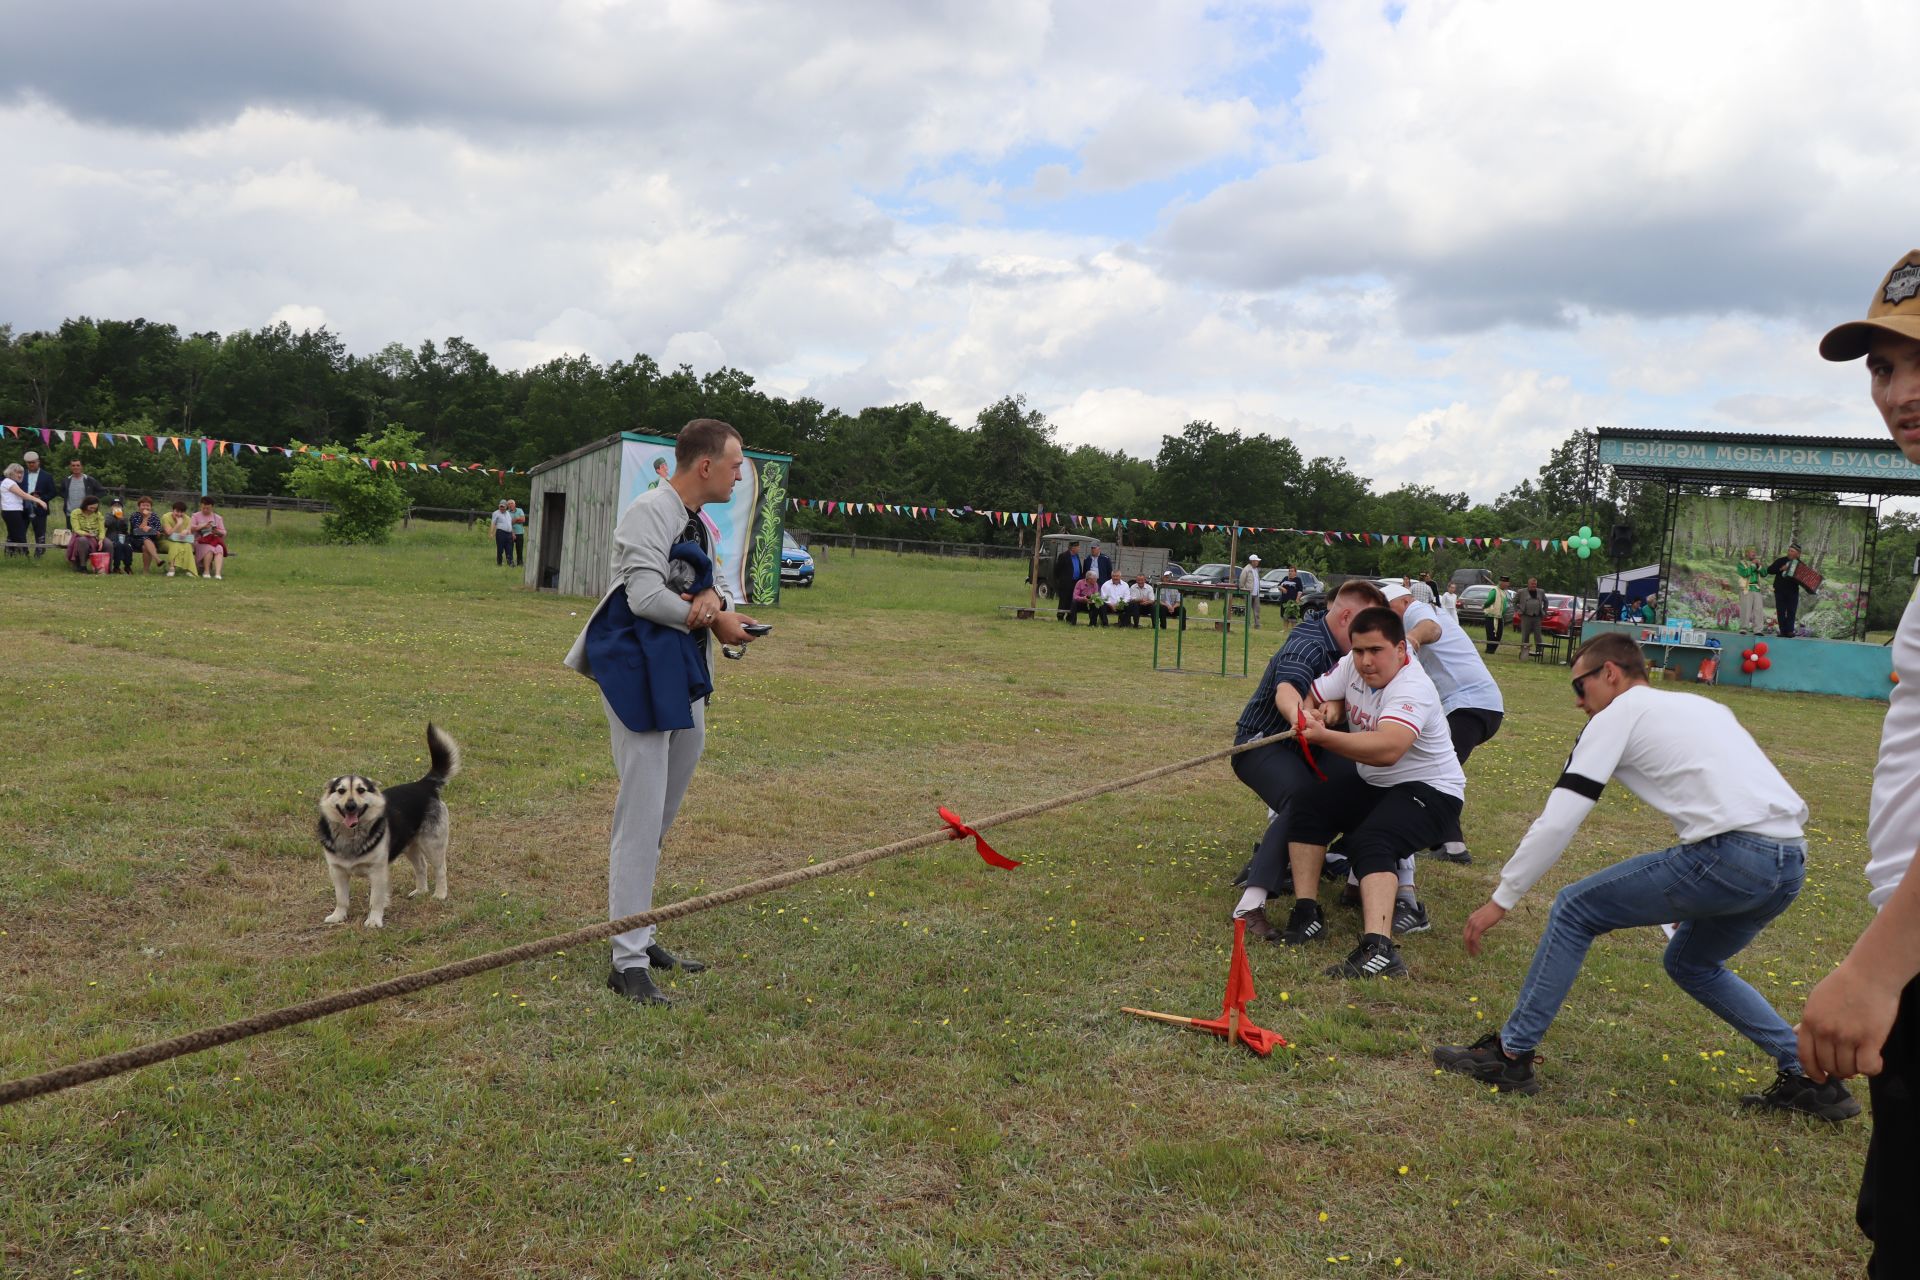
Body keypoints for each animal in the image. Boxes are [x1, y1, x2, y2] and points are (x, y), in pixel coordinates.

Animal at [320, 725, 462, 924]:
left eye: (361, 790)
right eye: (341, 791)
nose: (350, 806)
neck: (351, 836)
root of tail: (424, 785)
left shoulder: (378, 871)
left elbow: (375, 900)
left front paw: (374, 921)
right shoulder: (337, 871)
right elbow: (341, 899)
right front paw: (338, 916)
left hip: (432, 844)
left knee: (440, 869)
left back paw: (440, 894)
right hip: (410, 845)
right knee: (421, 866)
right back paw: (420, 891)